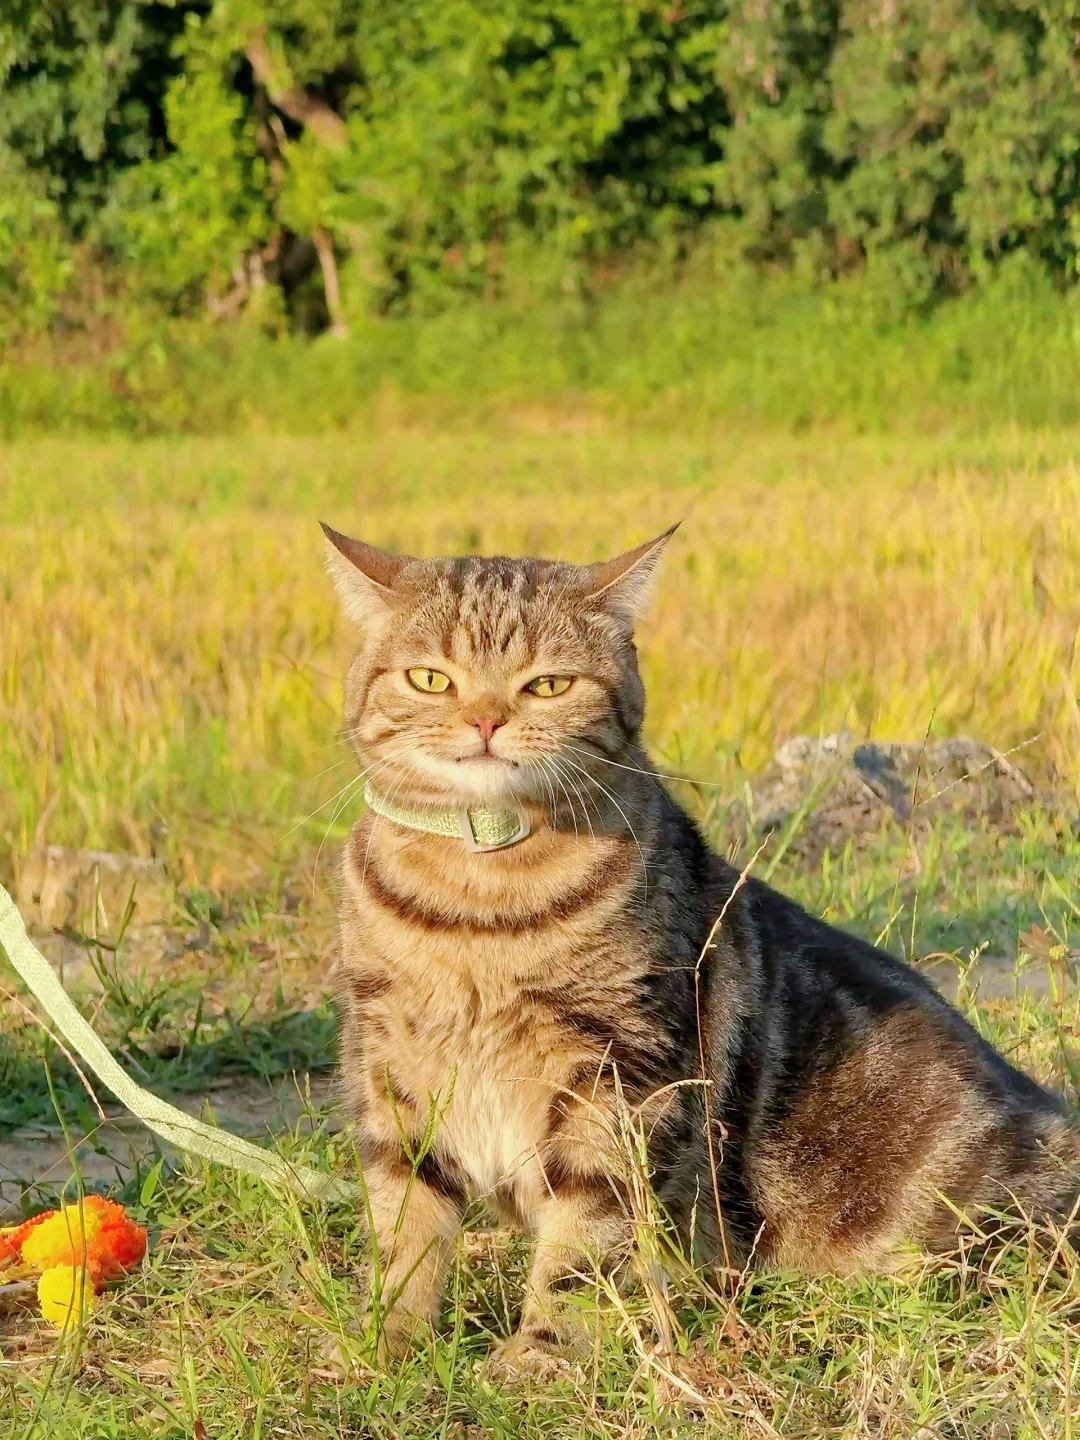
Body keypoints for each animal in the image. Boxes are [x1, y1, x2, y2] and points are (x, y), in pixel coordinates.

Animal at [324, 521, 1080, 1370]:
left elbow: (583, 1241)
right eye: (431, 679)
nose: (486, 722)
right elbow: (406, 1227)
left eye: (547, 685)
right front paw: (388, 1344)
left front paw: (543, 1355)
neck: (476, 907)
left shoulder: (618, 1075)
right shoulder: (390, 1068)